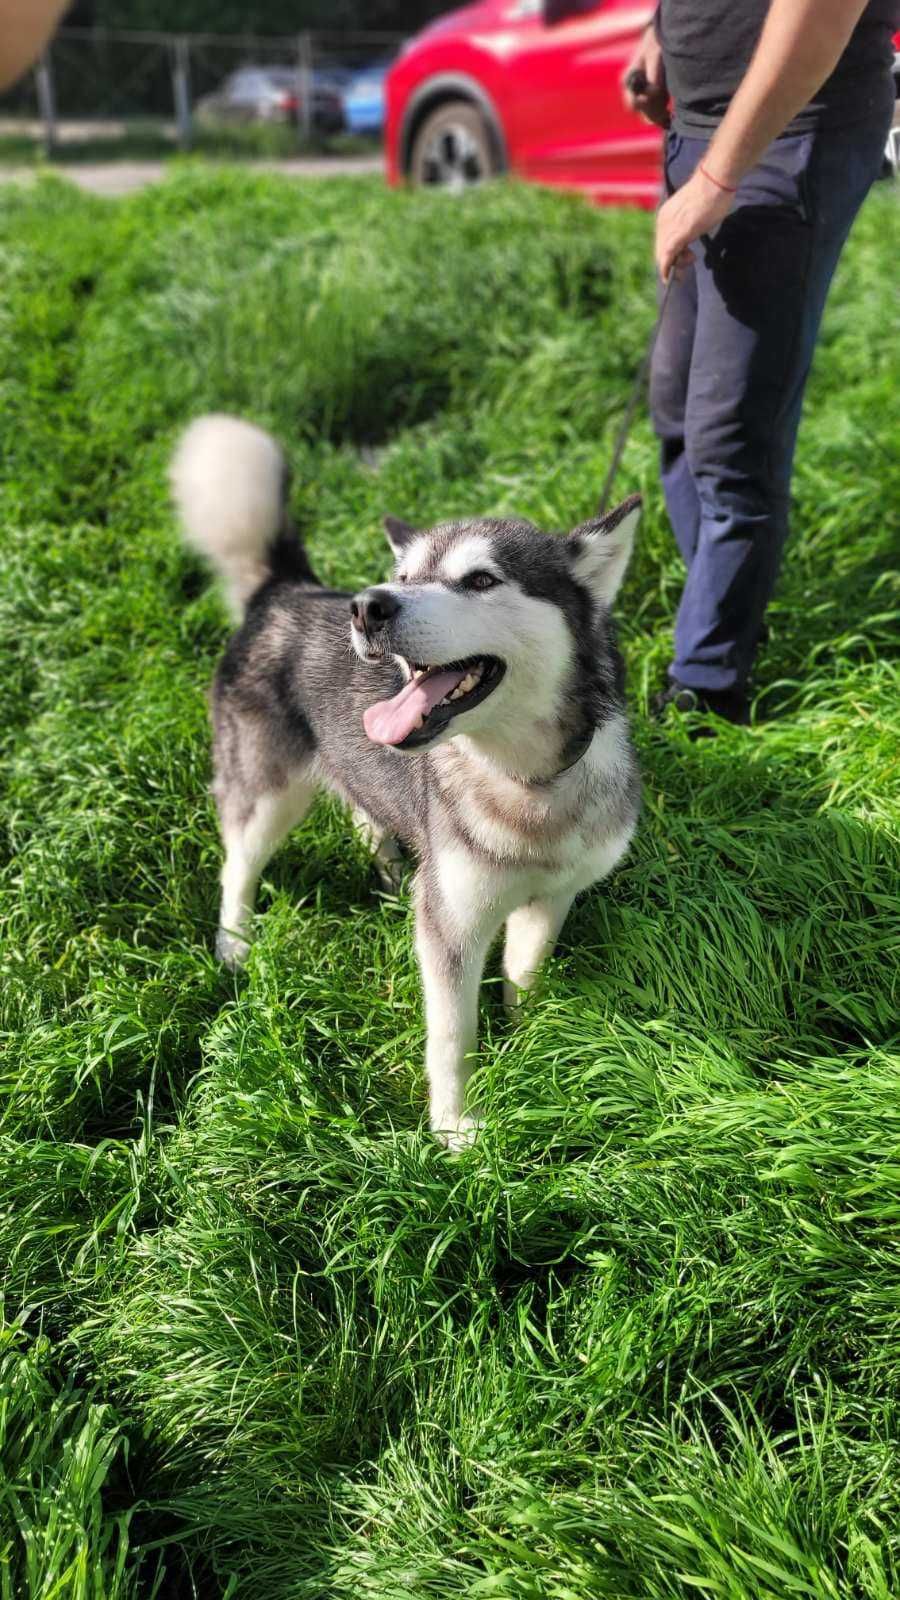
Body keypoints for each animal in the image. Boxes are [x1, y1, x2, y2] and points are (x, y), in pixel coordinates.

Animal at [171, 406, 637, 1145]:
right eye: (407, 575)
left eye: (480, 580)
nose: (369, 605)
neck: (524, 781)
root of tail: (288, 589)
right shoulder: (450, 922)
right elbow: (452, 1035)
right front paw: (454, 1130)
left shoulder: (552, 898)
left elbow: (524, 978)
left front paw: (530, 1043)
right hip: (267, 793)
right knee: (238, 865)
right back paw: (235, 944)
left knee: (367, 814)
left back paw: (390, 873)